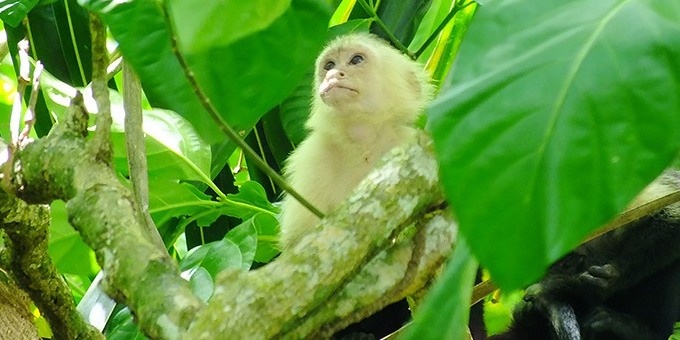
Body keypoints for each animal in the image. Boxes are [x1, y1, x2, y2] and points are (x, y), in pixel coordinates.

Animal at [280, 31, 430, 248]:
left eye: (356, 60)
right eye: (329, 65)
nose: (333, 75)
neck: (363, 142)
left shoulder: (410, 140)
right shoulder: (312, 157)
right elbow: (297, 241)